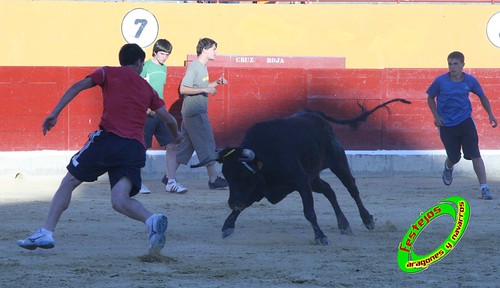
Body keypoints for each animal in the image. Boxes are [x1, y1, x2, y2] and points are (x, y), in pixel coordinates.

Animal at [191, 98, 410, 244]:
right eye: (227, 176)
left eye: (242, 175)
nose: (231, 203)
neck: (265, 156)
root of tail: (313, 114)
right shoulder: (261, 189)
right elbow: (242, 208)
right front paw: (227, 226)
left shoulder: (300, 182)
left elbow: (309, 211)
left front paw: (320, 236)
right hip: (314, 178)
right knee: (329, 190)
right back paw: (344, 224)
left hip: (337, 161)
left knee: (352, 188)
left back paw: (367, 220)